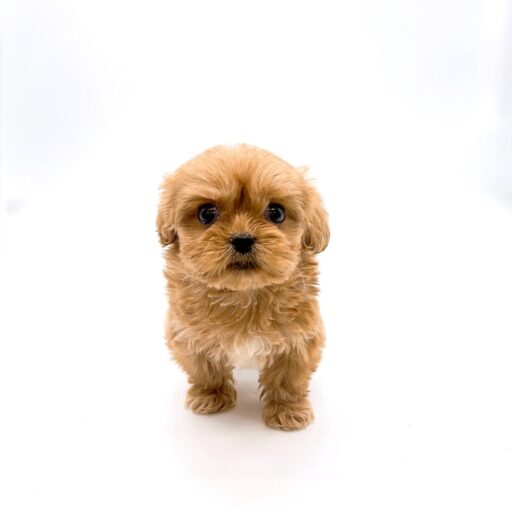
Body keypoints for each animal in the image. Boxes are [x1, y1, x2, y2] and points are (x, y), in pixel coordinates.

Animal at [157, 144, 329, 430]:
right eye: (206, 213)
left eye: (276, 212)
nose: (242, 239)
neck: (243, 295)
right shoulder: (187, 336)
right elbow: (204, 370)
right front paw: (210, 396)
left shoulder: (299, 341)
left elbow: (288, 380)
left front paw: (288, 412)